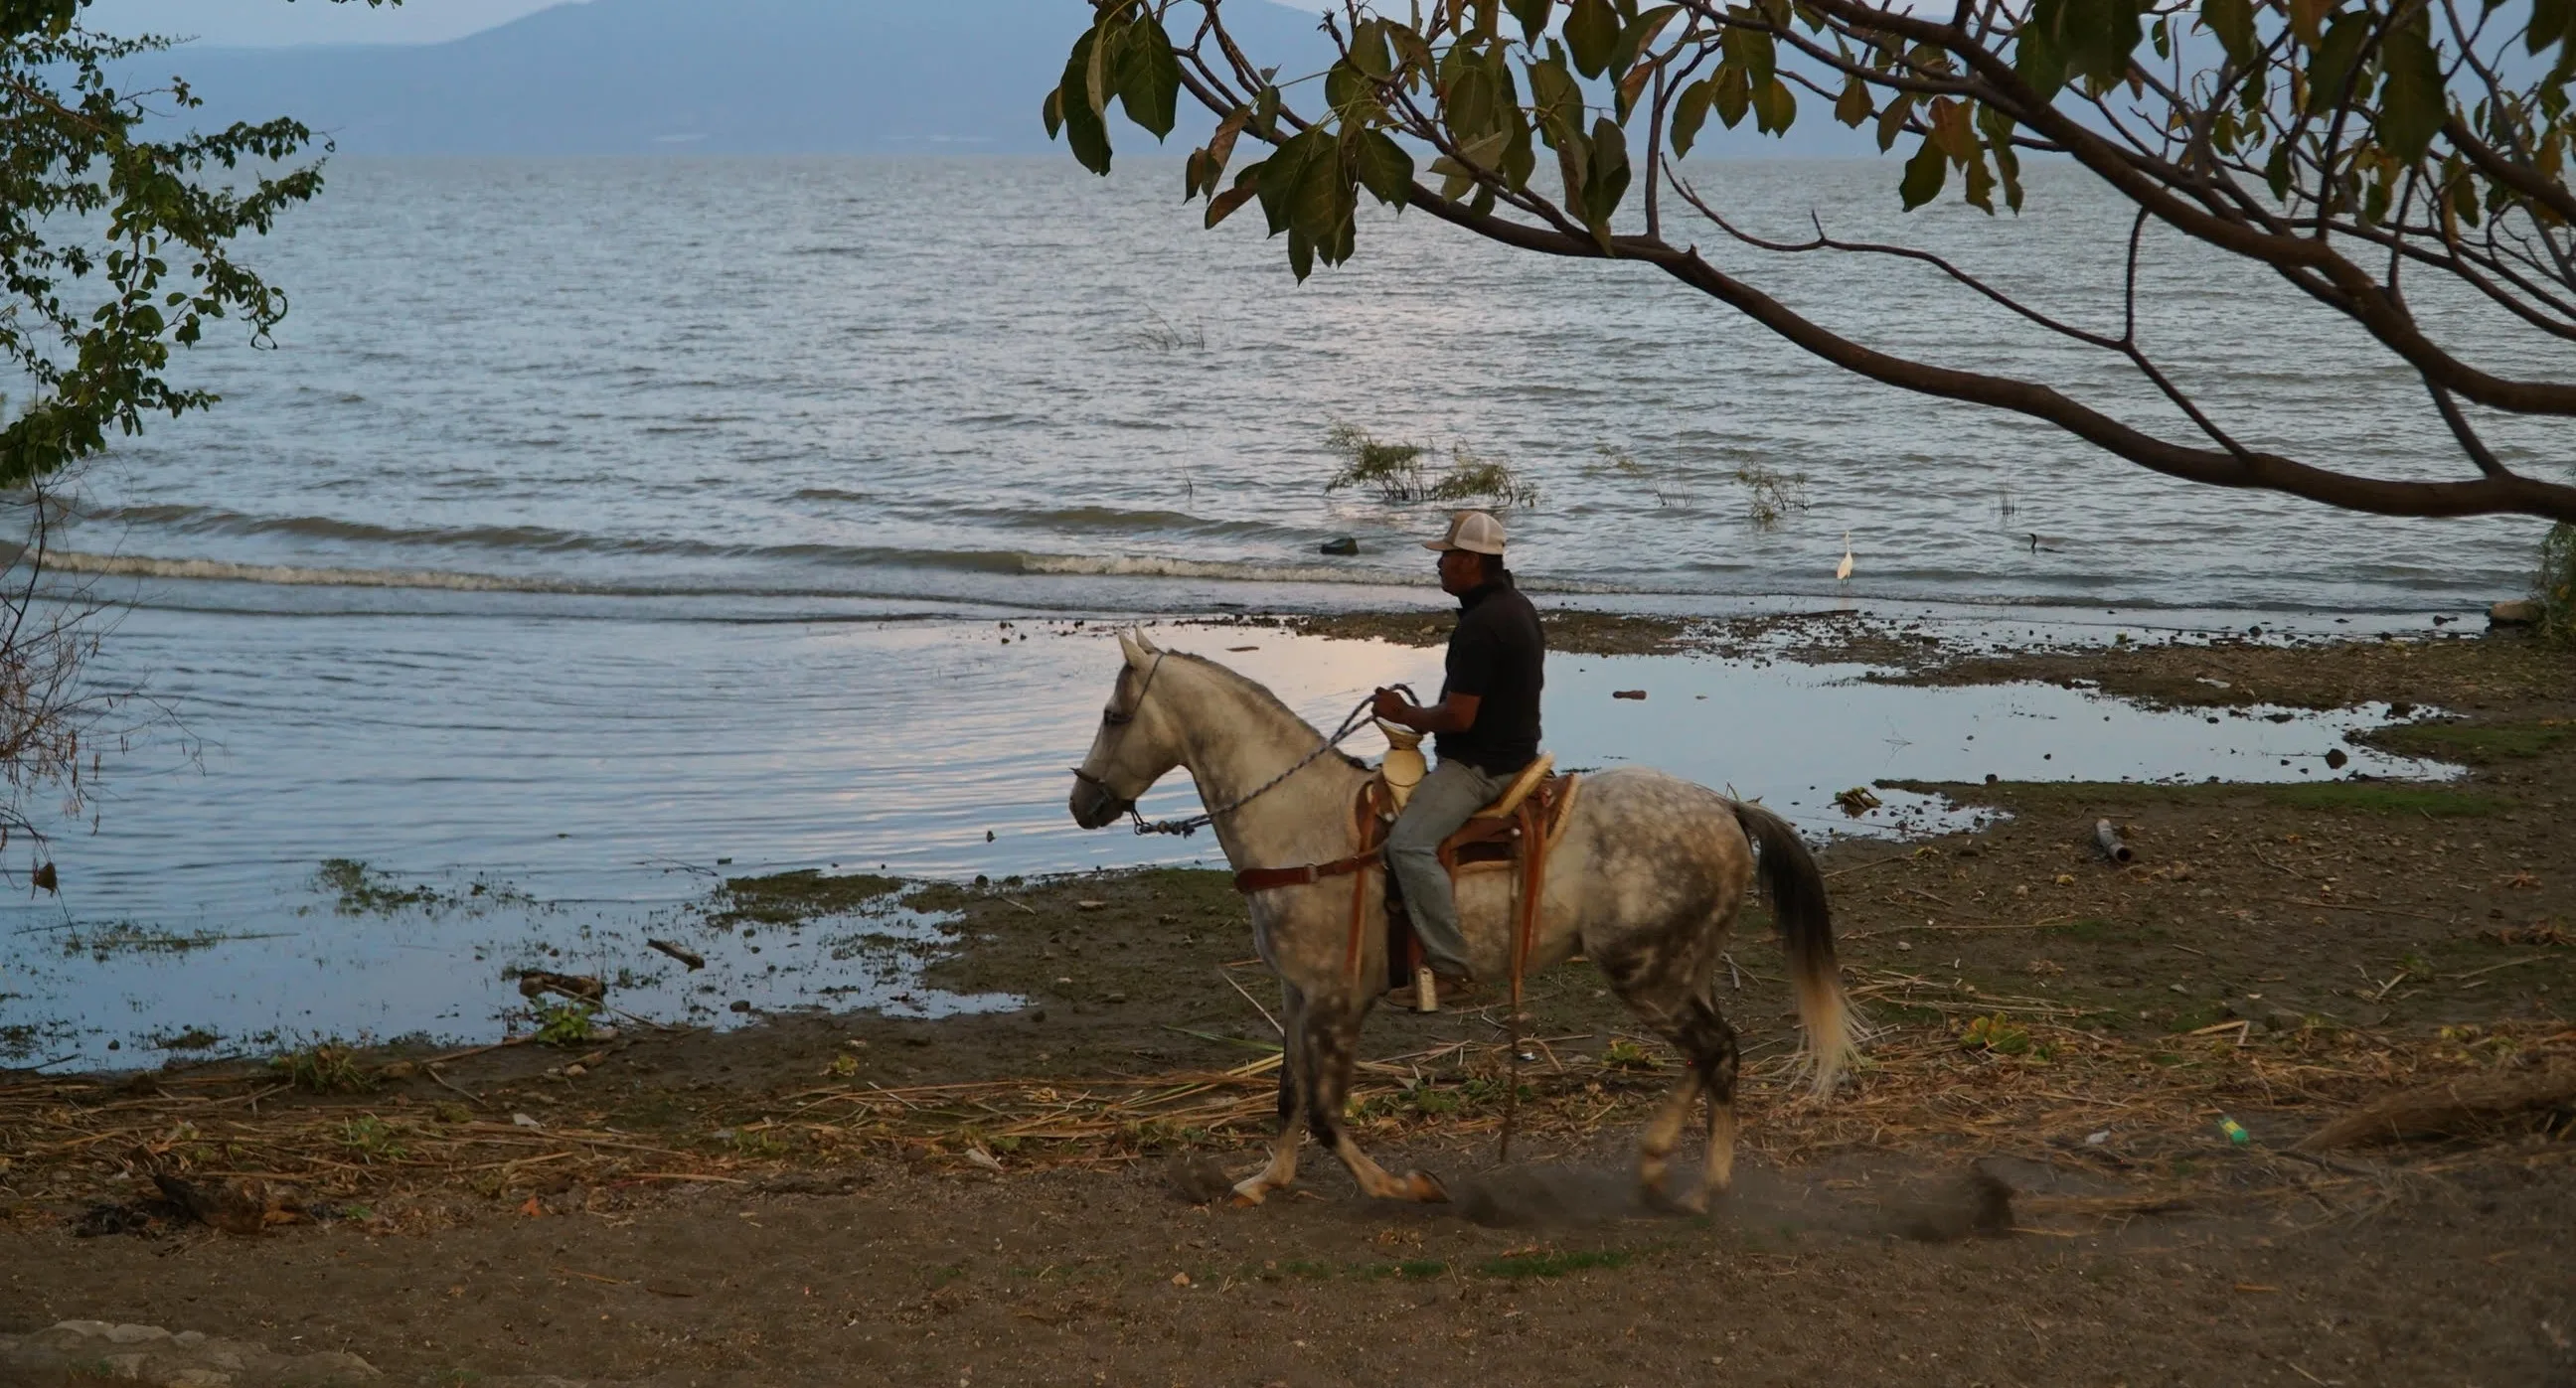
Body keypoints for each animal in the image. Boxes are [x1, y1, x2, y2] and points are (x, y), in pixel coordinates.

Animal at [1067, 628, 1854, 1210]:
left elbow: (1326, 1111)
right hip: (1680, 971)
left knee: (1718, 1051)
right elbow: (1289, 1094)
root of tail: (1726, 808)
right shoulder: (1296, 993)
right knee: (1709, 1054)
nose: (1081, 803)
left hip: (1646, 974)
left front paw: (1403, 1186)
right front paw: (1267, 1180)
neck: (1304, 823)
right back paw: (1659, 1161)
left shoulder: (1337, 999)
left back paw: (1703, 1188)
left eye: (1113, 715)